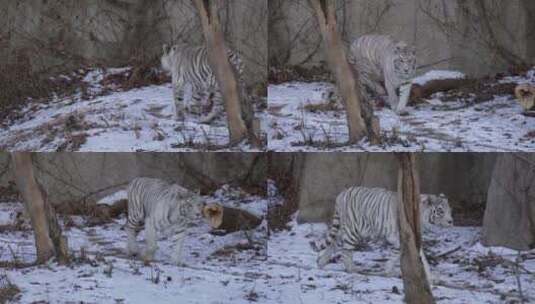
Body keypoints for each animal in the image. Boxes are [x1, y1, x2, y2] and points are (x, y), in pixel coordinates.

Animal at [312, 186, 454, 274]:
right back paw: (352, 269)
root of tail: (342, 194)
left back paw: (321, 263)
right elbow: (396, 255)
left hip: (344, 229)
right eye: (440, 211)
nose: (451, 221)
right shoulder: (400, 237)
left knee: (333, 243)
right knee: (346, 251)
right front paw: (390, 270)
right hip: (352, 230)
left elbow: (418, 257)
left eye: (449, 211)